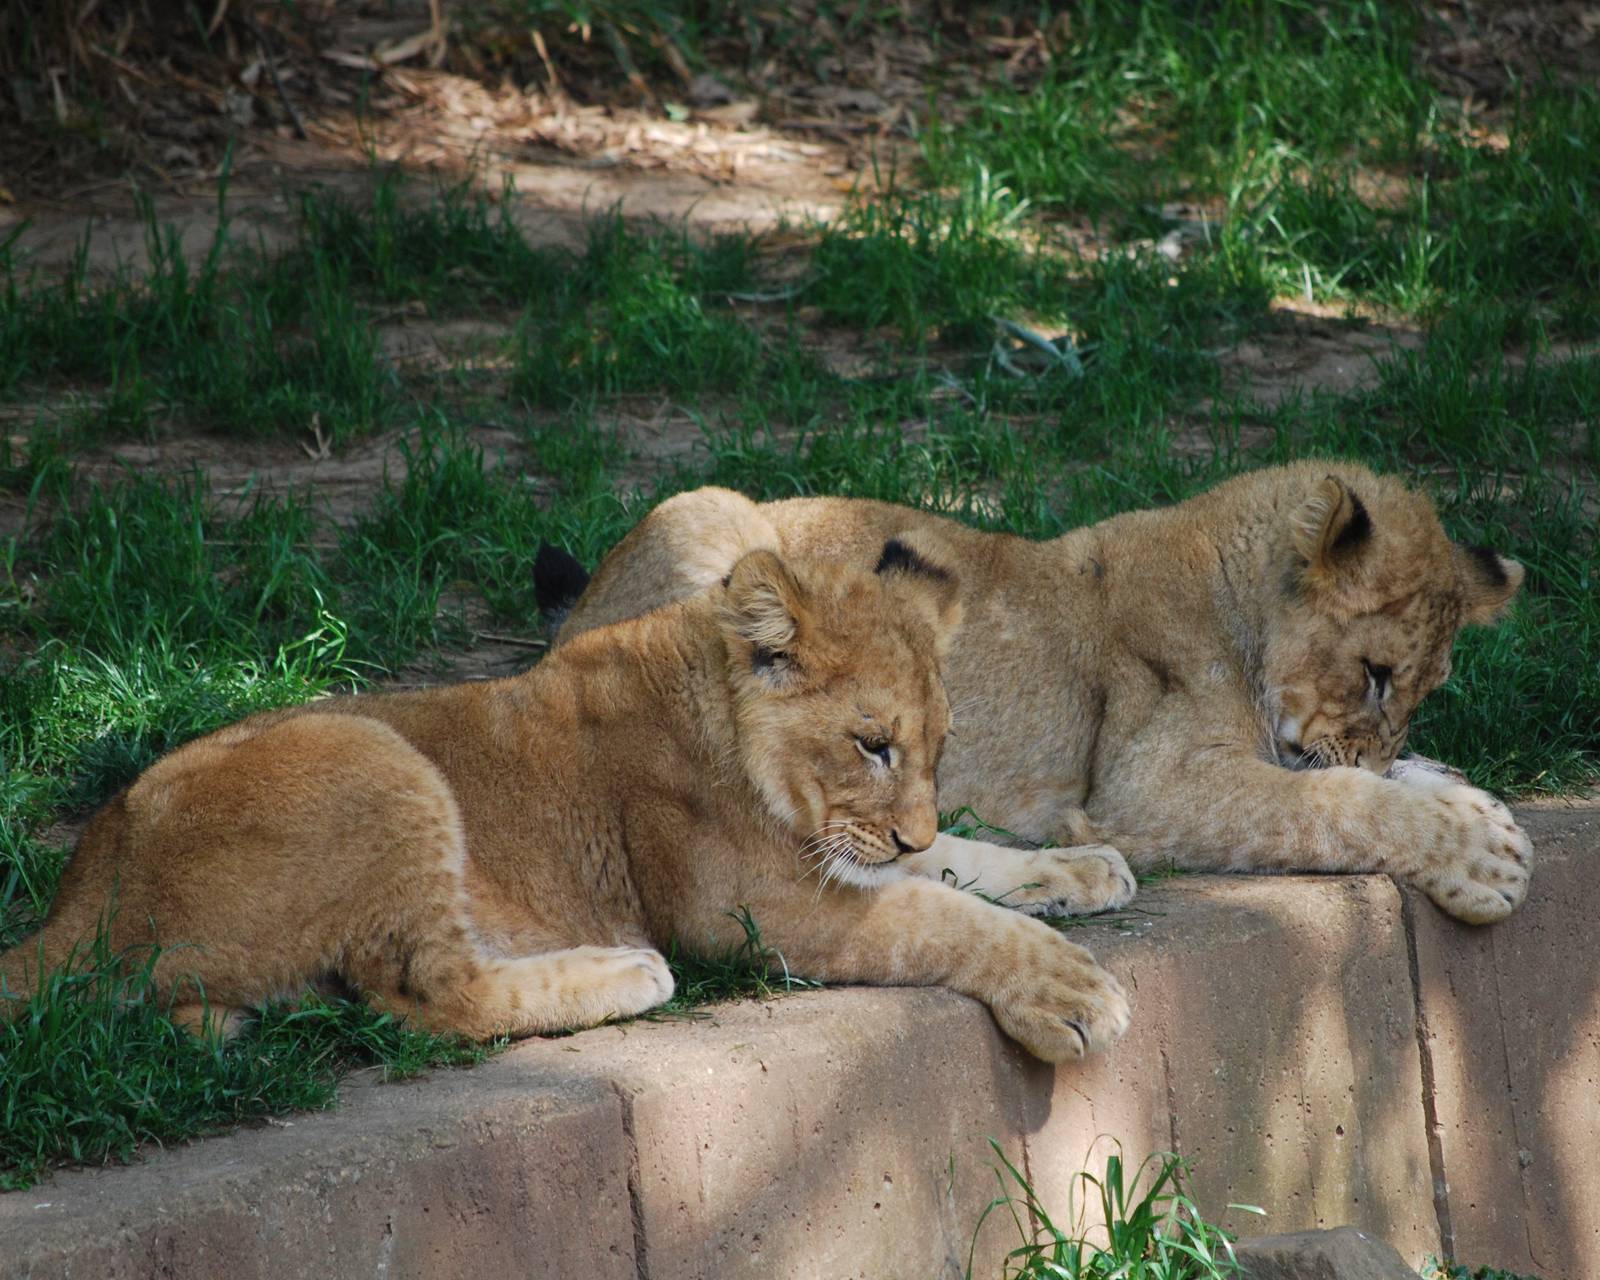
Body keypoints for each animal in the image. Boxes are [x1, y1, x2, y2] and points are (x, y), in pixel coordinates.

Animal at [0, 544, 1131, 1062]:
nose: (908, 824)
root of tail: (80, 893)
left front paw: (1082, 866)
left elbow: (961, 862)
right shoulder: (747, 906)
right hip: (372, 750)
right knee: (427, 999)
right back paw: (621, 971)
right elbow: (934, 911)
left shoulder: (836, 851)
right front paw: (1070, 989)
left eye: (940, 748)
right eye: (871, 742)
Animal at [541, 461, 1532, 925]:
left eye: (1424, 690)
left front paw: (1462, 793)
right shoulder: (1144, 790)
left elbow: (1363, 779)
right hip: (709, 515)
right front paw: (1483, 855)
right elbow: (1330, 801)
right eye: (1374, 673)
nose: (1377, 740)